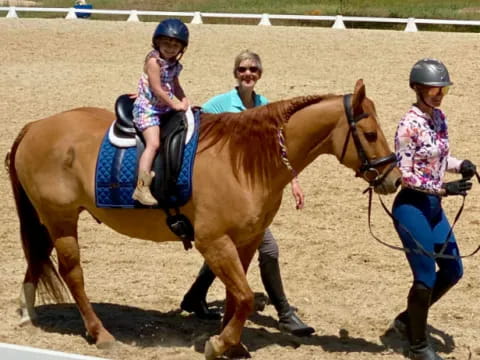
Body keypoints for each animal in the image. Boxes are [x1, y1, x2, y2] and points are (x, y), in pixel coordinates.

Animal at [6, 79, 402, 360]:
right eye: (370, 134)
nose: (394, 179)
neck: (243, 161)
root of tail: (36, 126)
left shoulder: (246, 241)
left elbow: (235, 297)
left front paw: (232, 344)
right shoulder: (213, 242)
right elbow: (243, 297)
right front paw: (219, 344)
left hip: (49, 220)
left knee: (36, 257)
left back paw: (27, 312)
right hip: (60, 219)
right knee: (72, 274)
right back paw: (101, 334)